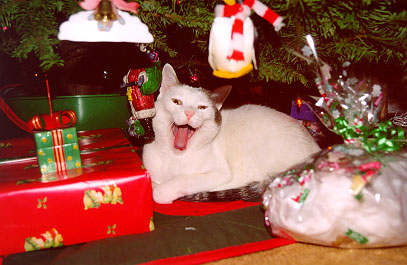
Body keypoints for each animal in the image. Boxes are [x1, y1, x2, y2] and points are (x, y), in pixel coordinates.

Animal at [142, 63, 320, 202]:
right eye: (176, 102)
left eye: (202, 107)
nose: (189, 113)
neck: (175, 157)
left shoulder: (220, 172)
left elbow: (175, 183)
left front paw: (164, 191)